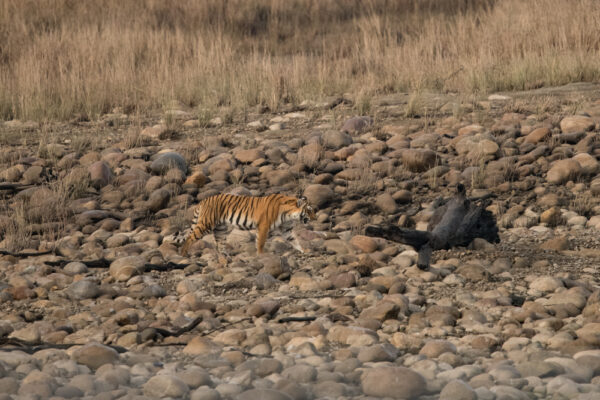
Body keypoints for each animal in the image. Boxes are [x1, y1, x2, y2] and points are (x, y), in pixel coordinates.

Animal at [176, 194, 316, 256]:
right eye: (309, 210)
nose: (315, 218)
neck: (288, 214)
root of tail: (203, 200)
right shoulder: (263, 226)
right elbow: (260, 242)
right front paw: (261, 255)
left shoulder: (287, 229)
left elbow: (295, 240)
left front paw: (304, 250)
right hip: (206, 224)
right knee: (190, 238)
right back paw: (183, 254)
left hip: (220, 229)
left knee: (220, 244)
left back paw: (226, 257)